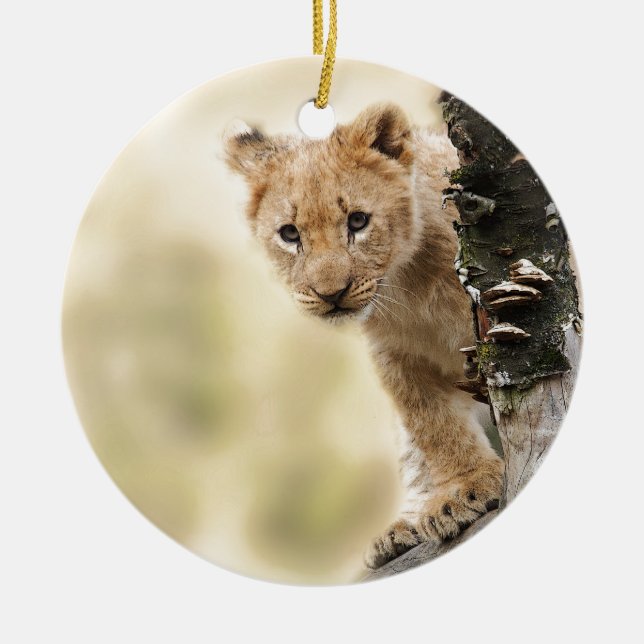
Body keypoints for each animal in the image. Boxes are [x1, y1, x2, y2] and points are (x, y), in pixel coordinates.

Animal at [224, 103, 503, 569]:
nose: (330, 295)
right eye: (289, 234)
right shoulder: (394, 356)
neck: (409, 284)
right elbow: (433, 425)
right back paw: (402, 527)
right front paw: (461, 489)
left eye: (358, 221)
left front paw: (465, 491)